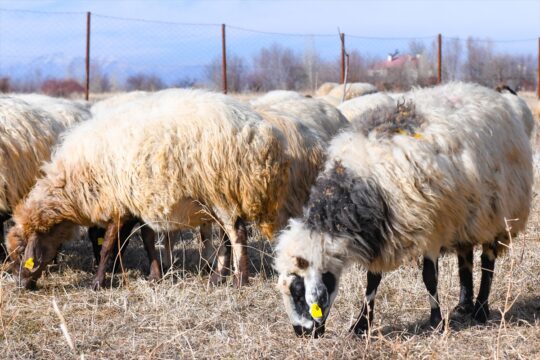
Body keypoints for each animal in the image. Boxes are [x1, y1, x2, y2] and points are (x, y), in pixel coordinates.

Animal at [5, 88, 292, 290]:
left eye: (23, 251)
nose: (19, 285)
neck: (75, 183)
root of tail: (263, 132)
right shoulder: (137, 204)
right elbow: (147, 241)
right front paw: (155, 275)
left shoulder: (119, 204)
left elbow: (109, 245)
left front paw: (98, 282)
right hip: (221, 196)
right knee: (226, 238)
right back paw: (217, 278)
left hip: (221, 190)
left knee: (237, 234)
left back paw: (239, 280)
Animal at [274, 82, 532, 338]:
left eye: (297, 291)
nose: (301, 333)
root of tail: (489, 94)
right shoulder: (381, 231)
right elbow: (372, 280)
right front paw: (361, 325)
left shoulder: (432, 228)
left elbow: (429, 277)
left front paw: (436, 322)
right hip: (465, 213)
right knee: (465, 257)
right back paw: (463, 305)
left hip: (498, 210)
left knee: (487, 261)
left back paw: (480, 309)